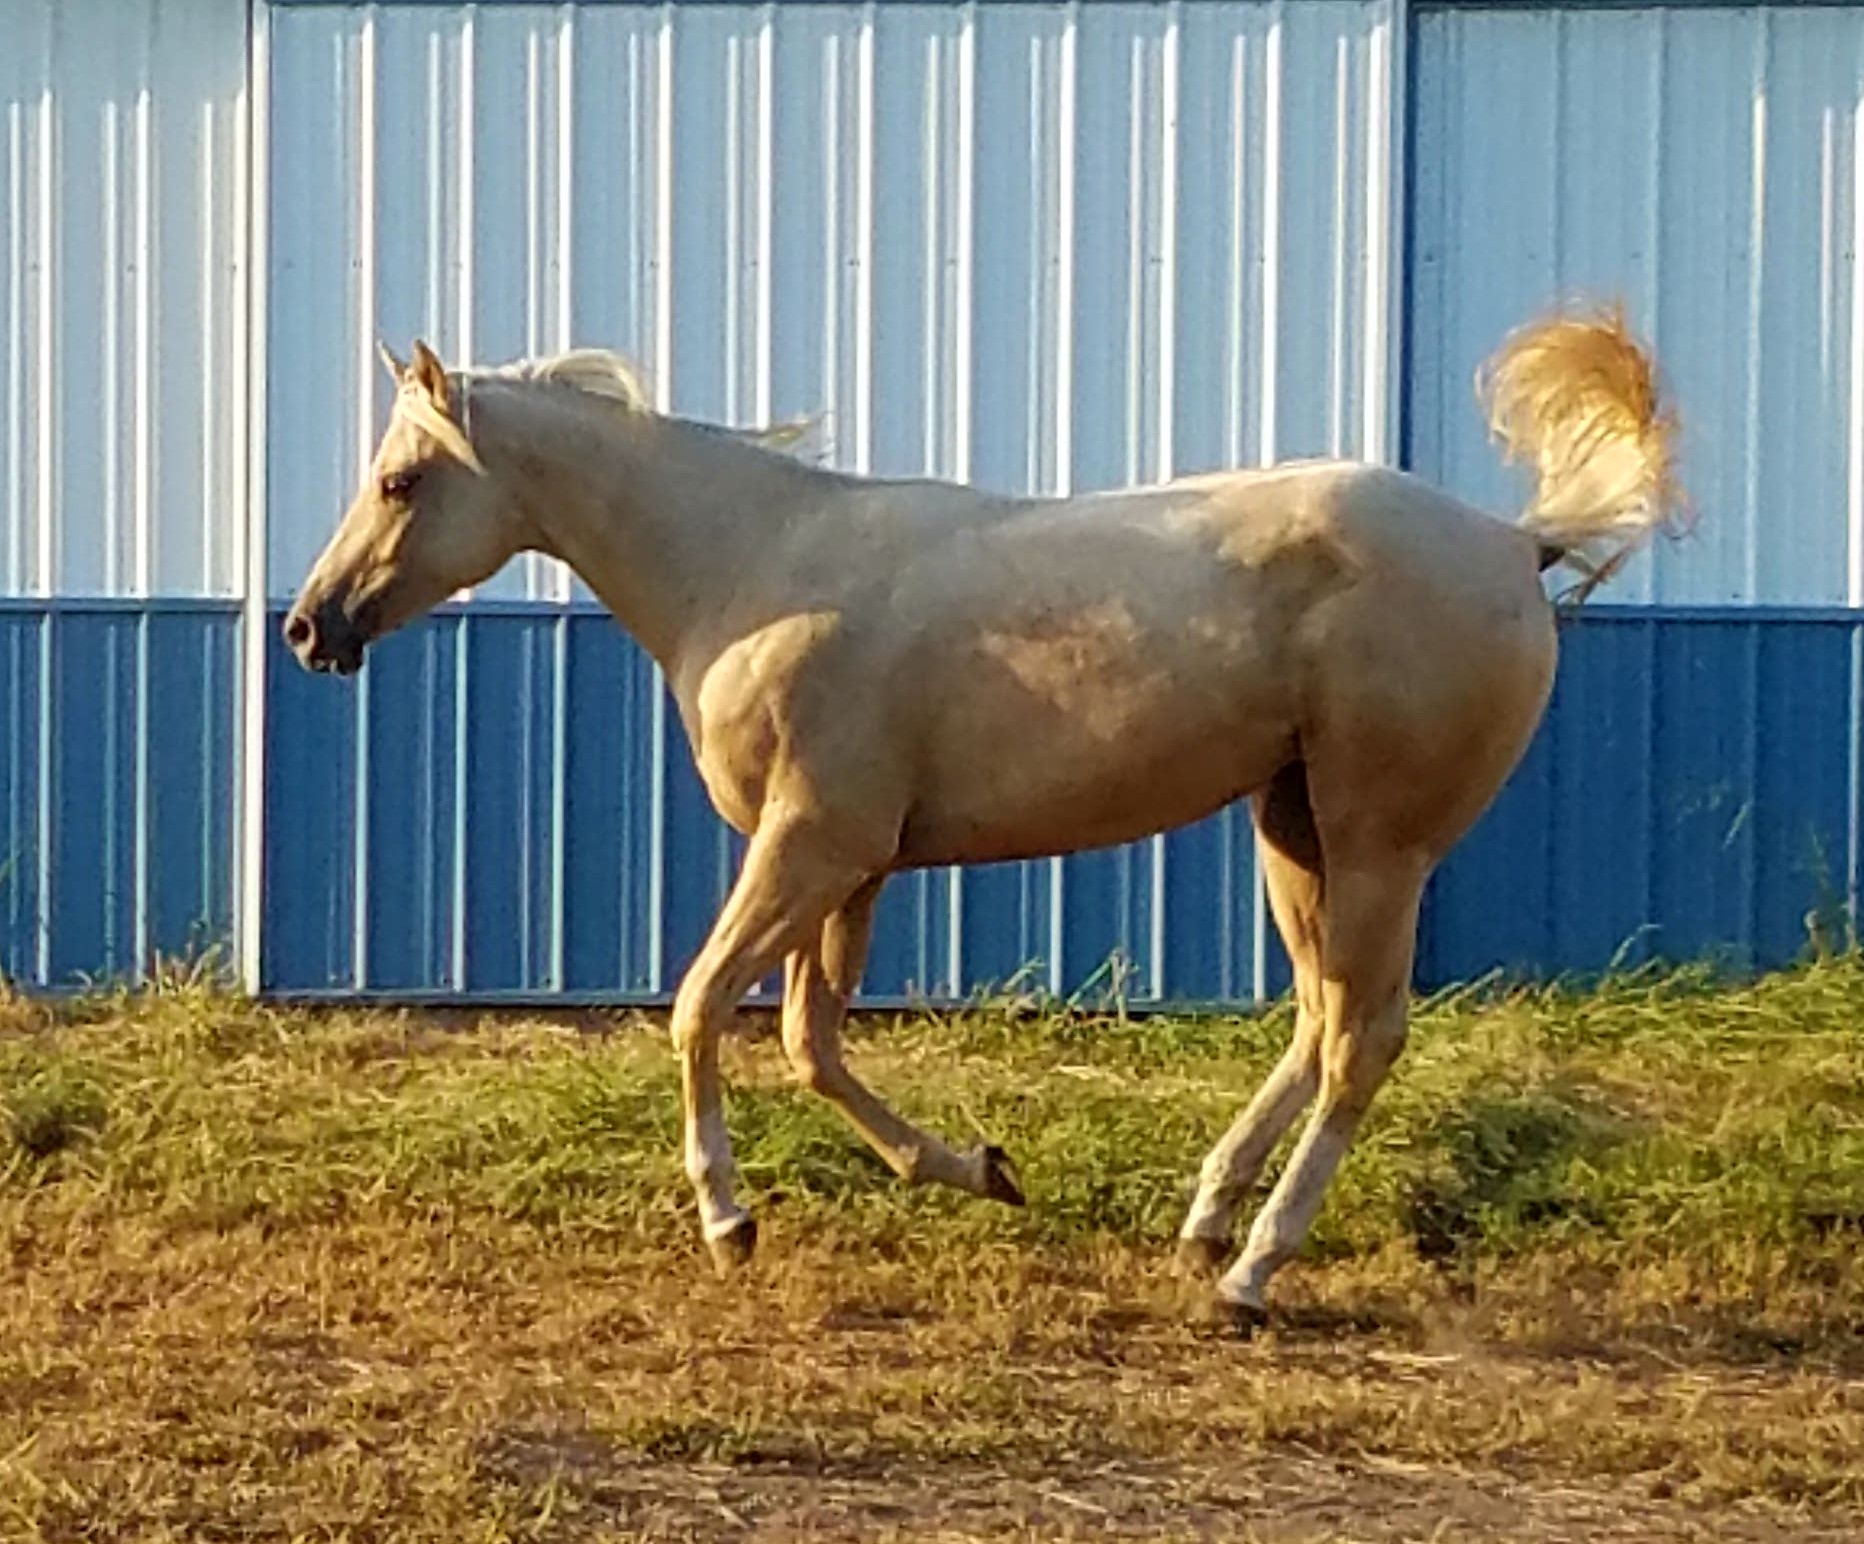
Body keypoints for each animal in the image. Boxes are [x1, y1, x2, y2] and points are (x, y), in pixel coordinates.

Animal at [283, 313, 1685, 1327]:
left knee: (1362, 1038)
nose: (309, 625)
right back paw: (1205, 1220)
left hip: (1380, 840)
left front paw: (729, 1220)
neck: (753, 569)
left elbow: (699, 1009)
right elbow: (811, 1042)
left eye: (401, 478)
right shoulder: (850, 868)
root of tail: (1512, 543)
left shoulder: (810, 845)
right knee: (1318, 1016)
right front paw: (980, 1169)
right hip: (1292, 829)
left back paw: (1250, 1273)